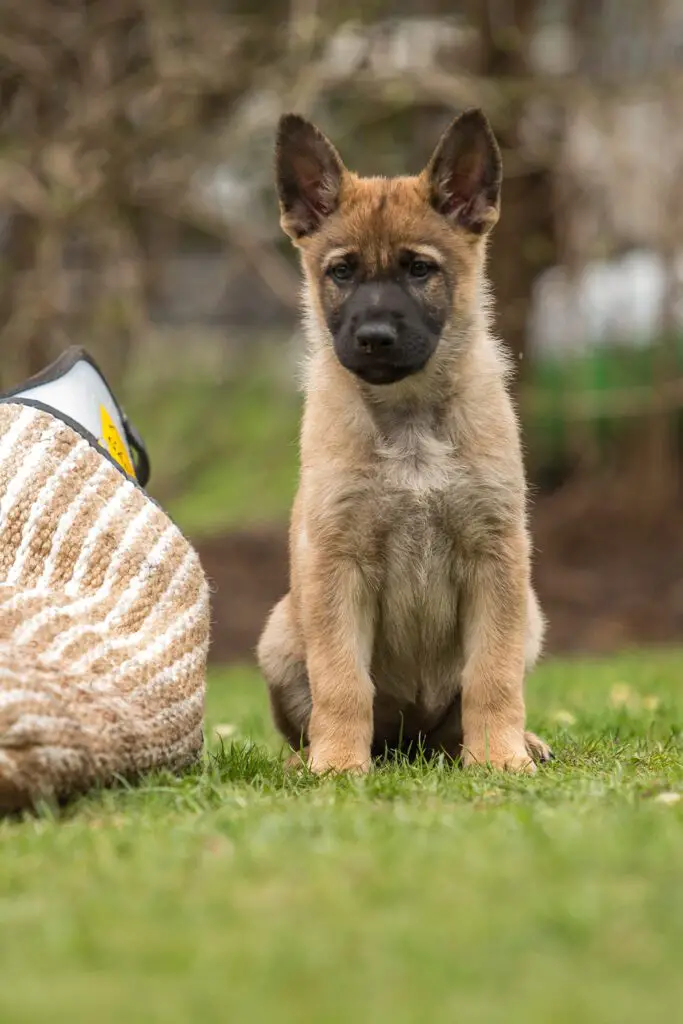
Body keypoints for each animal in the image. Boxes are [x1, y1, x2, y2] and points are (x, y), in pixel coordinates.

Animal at [255, 108, 548, 770]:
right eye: (341, 272)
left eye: (419, 269)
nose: (375, 338)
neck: (410, 419)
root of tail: (411, 744)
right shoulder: (336, 562)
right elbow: (342, 680)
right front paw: (339, 765)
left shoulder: (496, 556)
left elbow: (492, 675)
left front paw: (499, 758)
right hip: (281, 633)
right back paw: (306, 757)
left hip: (531, 615)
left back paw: (515, 743)